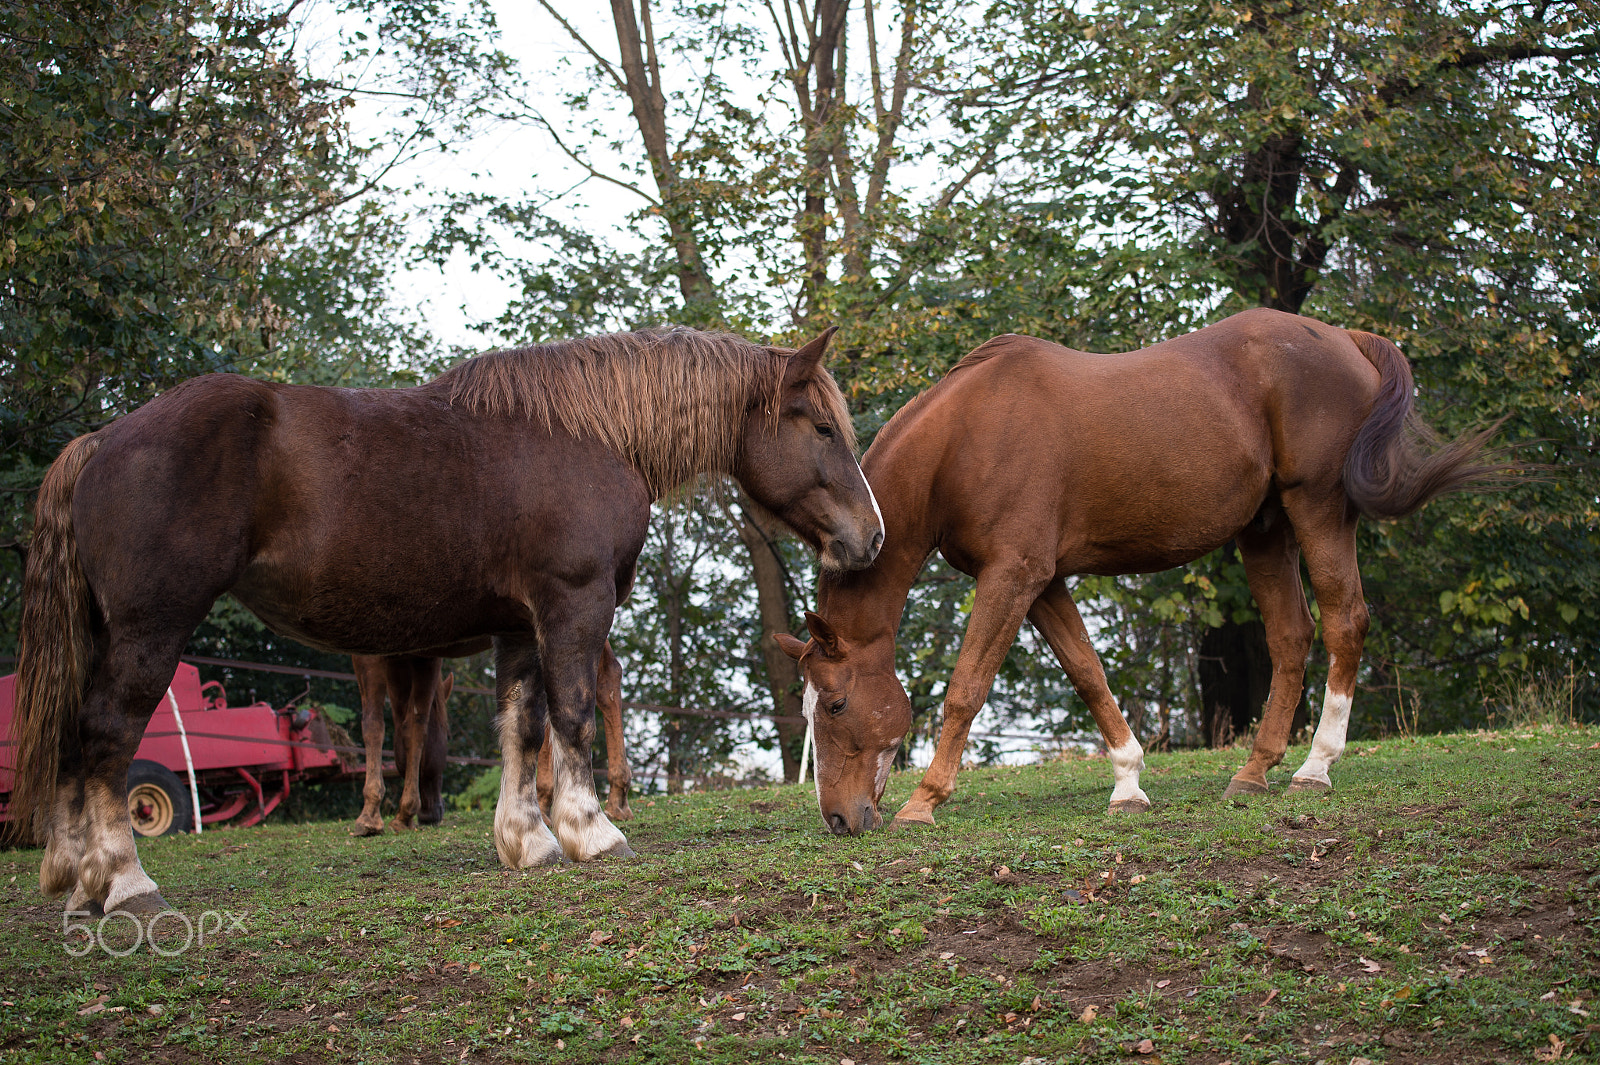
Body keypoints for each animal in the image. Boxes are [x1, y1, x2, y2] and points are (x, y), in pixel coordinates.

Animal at [10, 326, 883, 915]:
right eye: (822, 427)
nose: (869, 537)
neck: (590, 435)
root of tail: (102, 439)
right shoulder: (573, 605)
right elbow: (570, 715)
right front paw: (590, 829)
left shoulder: (518, 626)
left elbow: (521, 727)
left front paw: (528, 841)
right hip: (150, 630)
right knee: (107, 734)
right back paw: (125, 881)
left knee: (71, 735)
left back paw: (79, 879)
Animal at [777, 309, 1503, 835]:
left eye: (836, 703)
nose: (838, 819)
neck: (967, 438)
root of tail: (1345, 339)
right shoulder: (1043, 582)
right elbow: (1088, 673)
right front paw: (1128, 782)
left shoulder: (1012, 575)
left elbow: (966, 688)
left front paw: (925, 799)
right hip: (1265, 531)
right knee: (1291, 637)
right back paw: (1253, 772)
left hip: (1319, 509)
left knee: (1345, 622)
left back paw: (1315, 768)